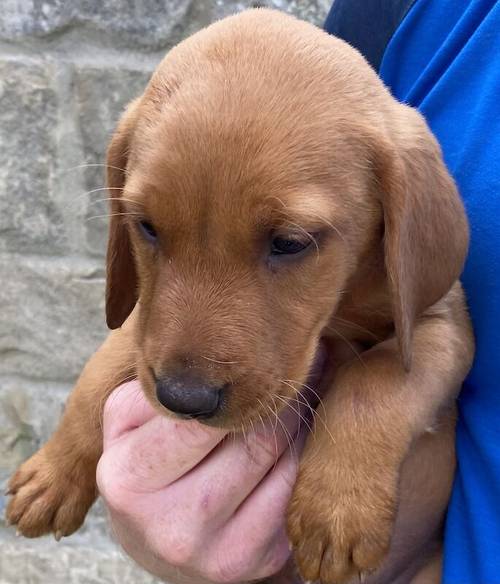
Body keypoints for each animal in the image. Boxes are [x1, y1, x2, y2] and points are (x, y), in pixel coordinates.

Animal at [5, 9, 474, 584]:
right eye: (146, 226)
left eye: (290, 243)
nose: (183, 400)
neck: (337, 312)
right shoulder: (145, 322)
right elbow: (100, 372)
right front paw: (51, 472)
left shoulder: (438, 322)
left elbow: (375, 381)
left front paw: (336, 509)